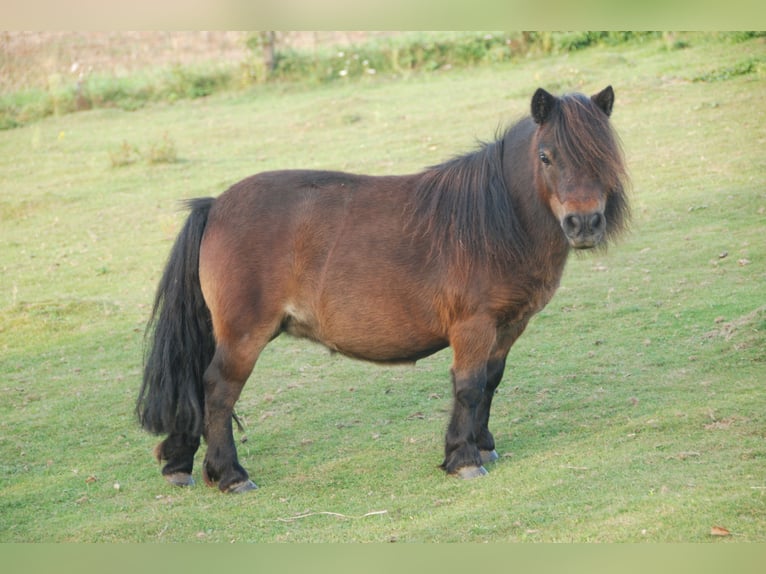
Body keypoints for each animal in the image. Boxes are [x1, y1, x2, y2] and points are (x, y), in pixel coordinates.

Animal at [137, 86, 629, 493]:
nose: (584, 224)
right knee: (218, 391)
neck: (495, 220)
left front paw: (484, 445)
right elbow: (469, 387)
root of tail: (216, 205)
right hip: (243, 336)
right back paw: (231, 476)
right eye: (546, 156)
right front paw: (464, 458)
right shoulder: (473, 327)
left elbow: (491, 383)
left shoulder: (508, 328)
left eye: (605, 154)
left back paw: (179, 463)